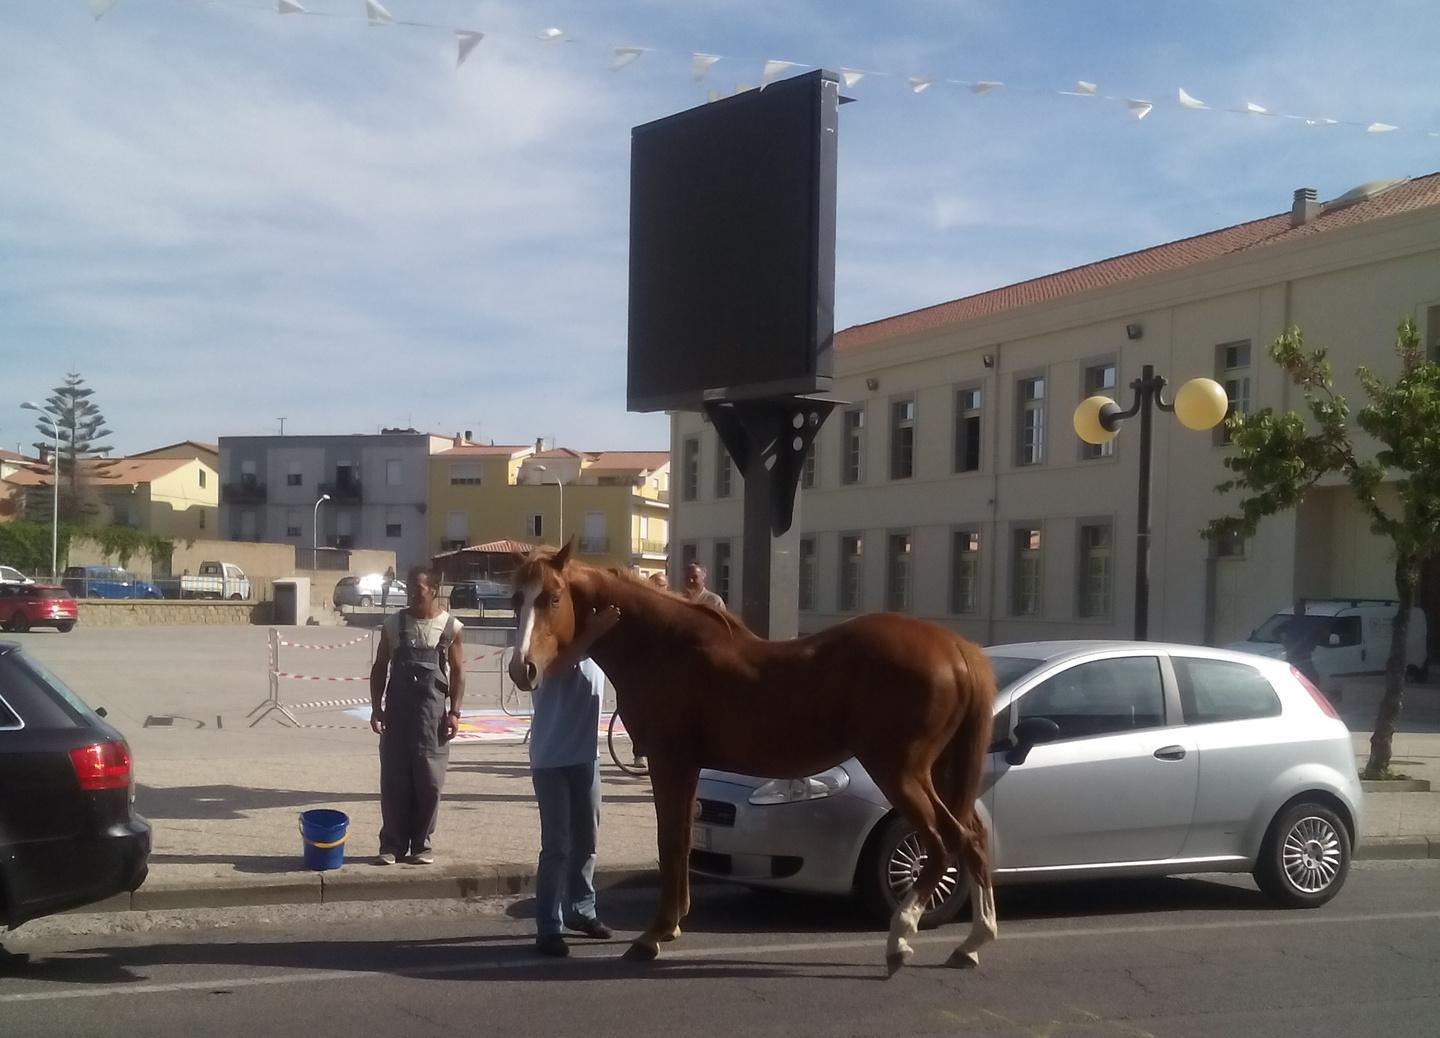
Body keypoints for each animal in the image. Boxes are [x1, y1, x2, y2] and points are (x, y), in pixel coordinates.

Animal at [507, 542, 998, 975]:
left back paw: (901, 937)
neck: (661, 646)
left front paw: (655, 934)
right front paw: (673, 925)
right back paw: (973, 943)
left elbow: (670, 843)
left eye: (553, 597)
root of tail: (957, 647)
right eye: (516, 599)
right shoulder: (687, 768)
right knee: (973, 839)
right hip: (938, 771)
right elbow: (682, 840)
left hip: (898, 771)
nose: (521, 668)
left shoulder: (670, 763)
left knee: (942, 843)